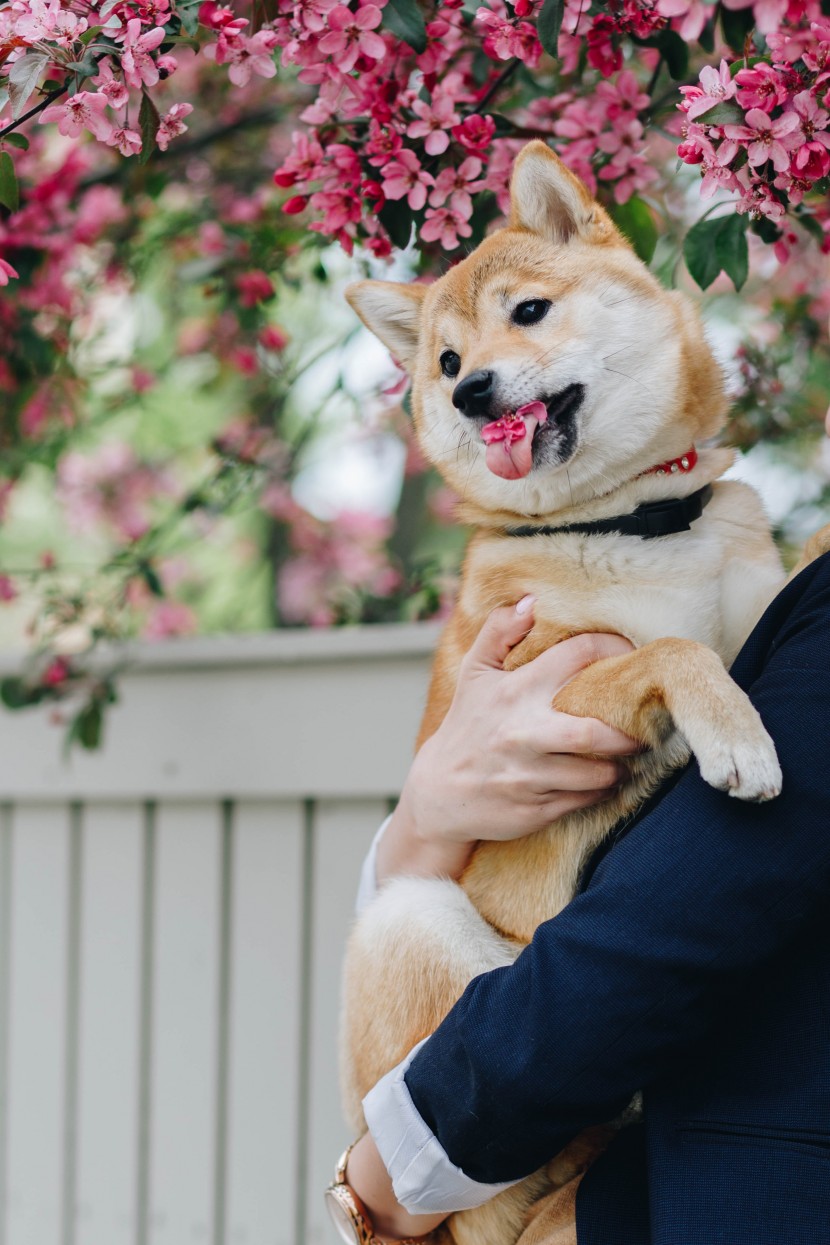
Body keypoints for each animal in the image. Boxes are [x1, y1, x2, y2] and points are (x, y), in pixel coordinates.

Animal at [333, 141, 816, 1245]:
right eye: (445, 365)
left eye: (527, 312)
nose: (473, 395)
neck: (638, 520)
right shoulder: (549, 688)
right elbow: (673, 652)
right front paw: (734, 734)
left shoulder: (750, 606)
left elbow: (737, 612)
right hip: (414, 925)